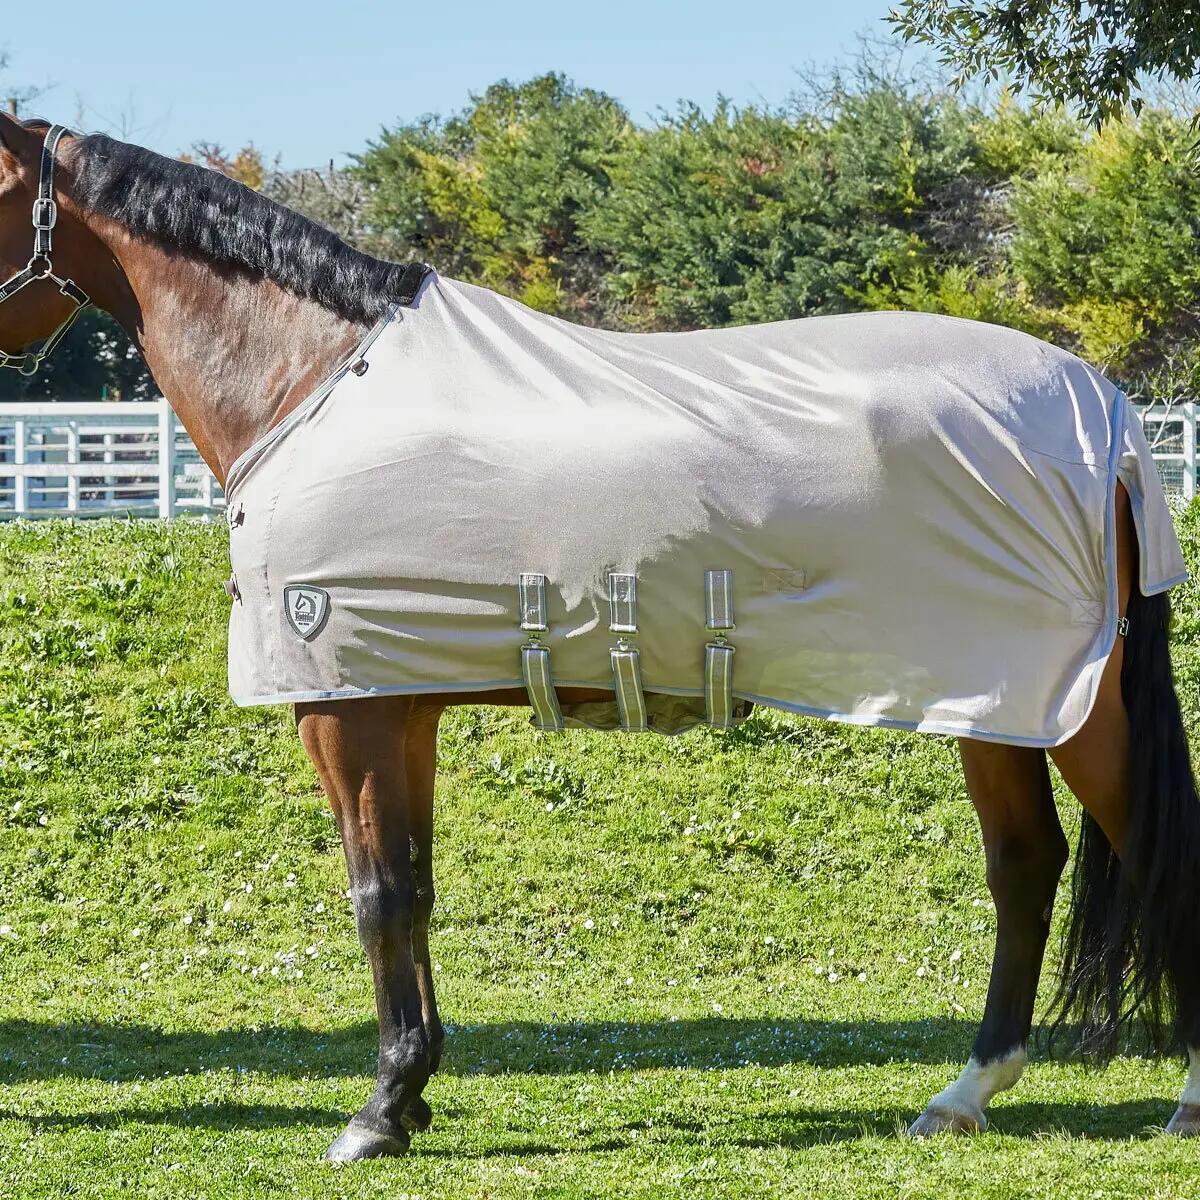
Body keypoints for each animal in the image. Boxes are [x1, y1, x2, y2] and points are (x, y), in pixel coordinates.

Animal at [1, 114, 1198, 1163]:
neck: (314, 384)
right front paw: (415, 1091)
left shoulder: (347, 710)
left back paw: (1180, 1098)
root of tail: (1110, 416)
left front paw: (377, 1114)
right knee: (1025, 865)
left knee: (1154, 852)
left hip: (1070, 708)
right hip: (993, 703)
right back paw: (963, 1094)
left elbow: (377, 896)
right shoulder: (402, 704)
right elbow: (415, 889)